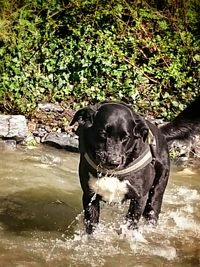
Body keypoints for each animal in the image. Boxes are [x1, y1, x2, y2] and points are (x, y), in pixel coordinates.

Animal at [69, 102, 170, 234]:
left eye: (126, 137)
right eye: (103, 134)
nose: (113, 162)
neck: (112, 173)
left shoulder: (139, 198)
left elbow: (131, 223)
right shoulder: (89, 195)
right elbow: (91, 224)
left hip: (158, 188)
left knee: (153, 207)